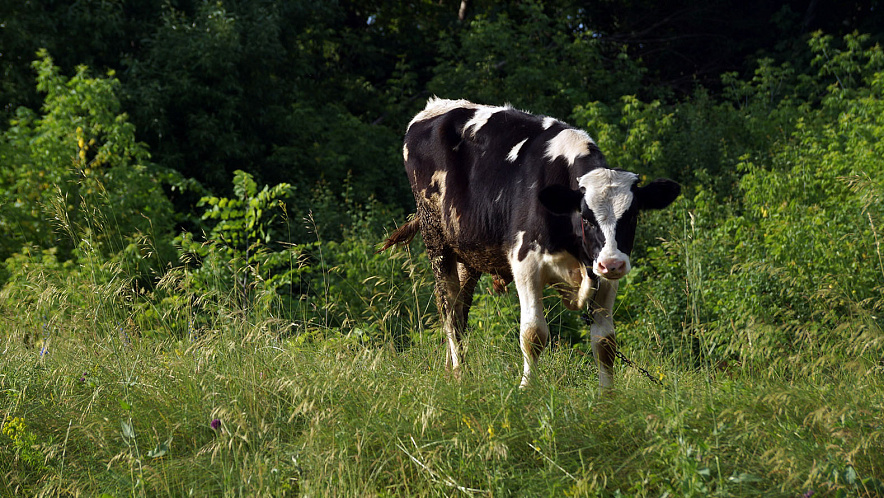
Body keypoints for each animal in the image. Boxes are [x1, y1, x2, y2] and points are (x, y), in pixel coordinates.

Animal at [382, 98, 684, 390]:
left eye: (632, 216)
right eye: (586, 217)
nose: (612, 263)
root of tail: (434, 107)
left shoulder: (604, 277)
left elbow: (605, 343)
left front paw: (607, 396)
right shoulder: (526, 263)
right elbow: (533, 335)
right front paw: (528, 388)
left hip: (468, 253)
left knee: (458, 308)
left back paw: (450, 371)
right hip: (435, 237)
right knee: (450, 311)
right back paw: (459, 374)